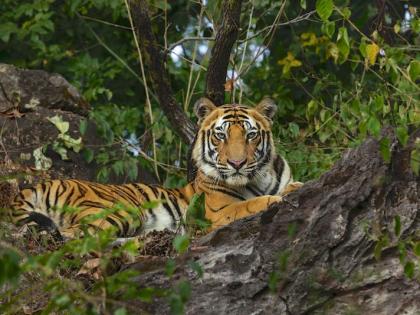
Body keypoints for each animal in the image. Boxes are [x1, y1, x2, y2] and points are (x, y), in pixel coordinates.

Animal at [9, 97, 298, 241]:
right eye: (221, 136)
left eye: (250, 136)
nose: (236, 164)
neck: (260, 177)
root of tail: (46, 183)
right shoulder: (219, 211)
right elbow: (250, 204)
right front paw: (273, 200)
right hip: (118, 211)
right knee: (73, 236)